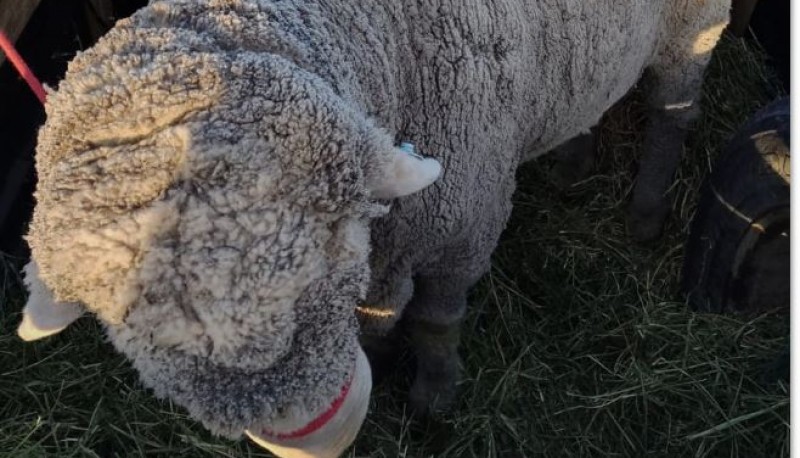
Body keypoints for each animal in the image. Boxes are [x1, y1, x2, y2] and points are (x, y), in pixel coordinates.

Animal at [18, 1, 732, 456]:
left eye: (326, 261)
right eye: (128, 339)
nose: (324, 440)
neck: (389, 45)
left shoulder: (464, 227)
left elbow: (437, 319)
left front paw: (433, 396)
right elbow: (383, 315)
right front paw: (385, 354)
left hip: (693, 25)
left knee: (674, 109)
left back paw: (646, 213)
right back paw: (574, 157)